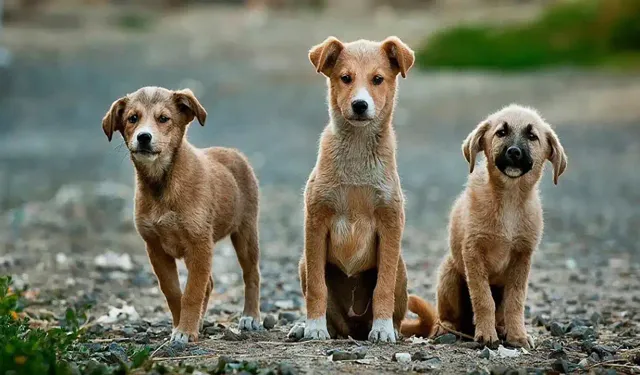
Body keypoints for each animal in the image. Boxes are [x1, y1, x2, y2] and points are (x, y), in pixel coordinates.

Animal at [101, 86, 262, 344]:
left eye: (163, 118)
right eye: (132, 118)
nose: (143, 137)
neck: (162, 184)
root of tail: (233, 152)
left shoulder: (199, 244)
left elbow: (192, 292)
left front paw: (185, 330)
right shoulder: (155, 248)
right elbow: (174, 292)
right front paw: (182, 326)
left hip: (245, 233)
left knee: (251, 274)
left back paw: (250, 316)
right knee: (210, 283)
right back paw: (201, 321)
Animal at [288, 36, 430, 344]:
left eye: (378, 79)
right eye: (345, 78)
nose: (360, 105)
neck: (357, 151)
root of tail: (353, 328)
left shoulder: (390, 223)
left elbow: (382, 287)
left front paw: (383, 328)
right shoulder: (315, 222)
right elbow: (317, 287)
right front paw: (314, 327)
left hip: (401, 268)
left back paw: (389, 328)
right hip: (304, 263)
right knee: (330, 313)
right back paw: (309, 327)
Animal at [404, 103, 568, 350]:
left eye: (532, 136)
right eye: (501, 132)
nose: (513, 152)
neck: (509, 199)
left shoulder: (522, 257)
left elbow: (515, 301)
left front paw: (517, 335)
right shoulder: (473, 252)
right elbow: (483, 299)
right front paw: (486, 335)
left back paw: (501, 328)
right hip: (449, 274)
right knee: (447, 317)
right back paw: (447, 329)